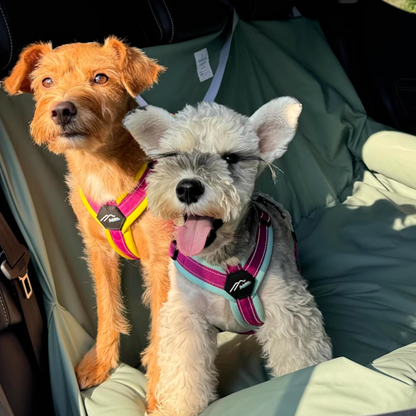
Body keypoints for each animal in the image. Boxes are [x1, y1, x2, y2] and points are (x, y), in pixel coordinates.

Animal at [2, 36, 171, 410]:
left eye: (101, 78)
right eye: (46, 81)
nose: (62, 110)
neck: (101, 166)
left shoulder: (162, 261)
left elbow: (163, 330)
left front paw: (162, 396)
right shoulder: (98, 251)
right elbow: (106, 308)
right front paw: (101, 363)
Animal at [123, 98, 332, 416]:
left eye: (231, 158)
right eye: (173, 155)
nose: (187, 187)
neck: (223, 261)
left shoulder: (286, 307)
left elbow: (298, 358)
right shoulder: (186, 315)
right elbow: (183, 371)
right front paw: (177, 407)